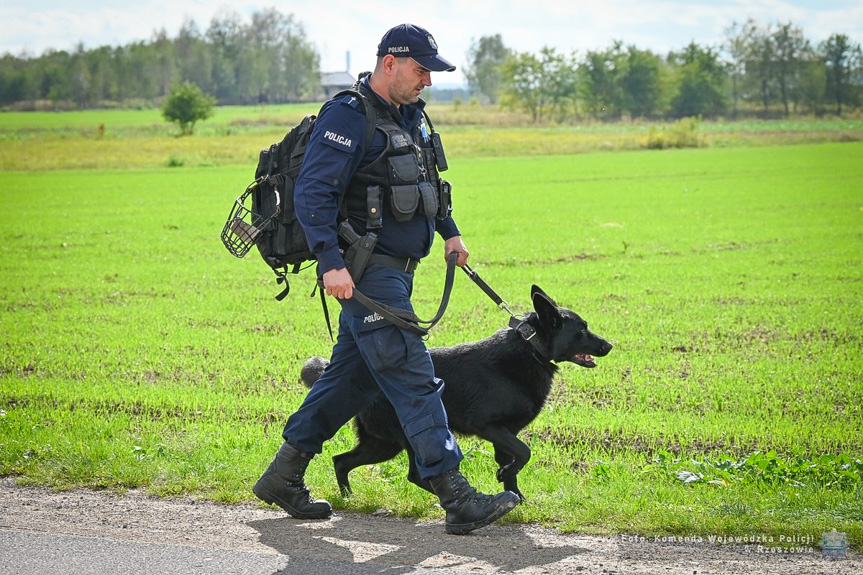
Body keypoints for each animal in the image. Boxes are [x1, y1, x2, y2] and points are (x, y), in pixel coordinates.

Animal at [304, 286, 616, 502]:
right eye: (582, 329)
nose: (610, 345)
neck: (532, 348)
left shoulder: (505, 434)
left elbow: (514, 463)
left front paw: (516, 497)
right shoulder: (488, 426)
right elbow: (524, 453)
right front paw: (506, 481)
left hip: (382, 444)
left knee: (341, 461)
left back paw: (348, 497)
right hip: (407, 437)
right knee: (414, 474)